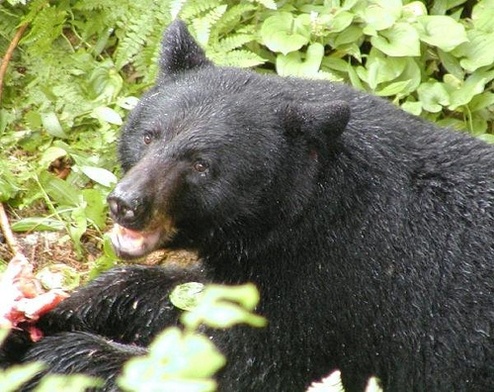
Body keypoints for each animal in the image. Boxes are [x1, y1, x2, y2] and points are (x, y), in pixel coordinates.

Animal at [0, 21, 494, 392]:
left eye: (202, 165)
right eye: (148, 135)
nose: (126, 204)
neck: (308, 211)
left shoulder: (330, 288)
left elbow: (238, 368)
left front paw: (44, 355)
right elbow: (179, 294)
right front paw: (54, 310)